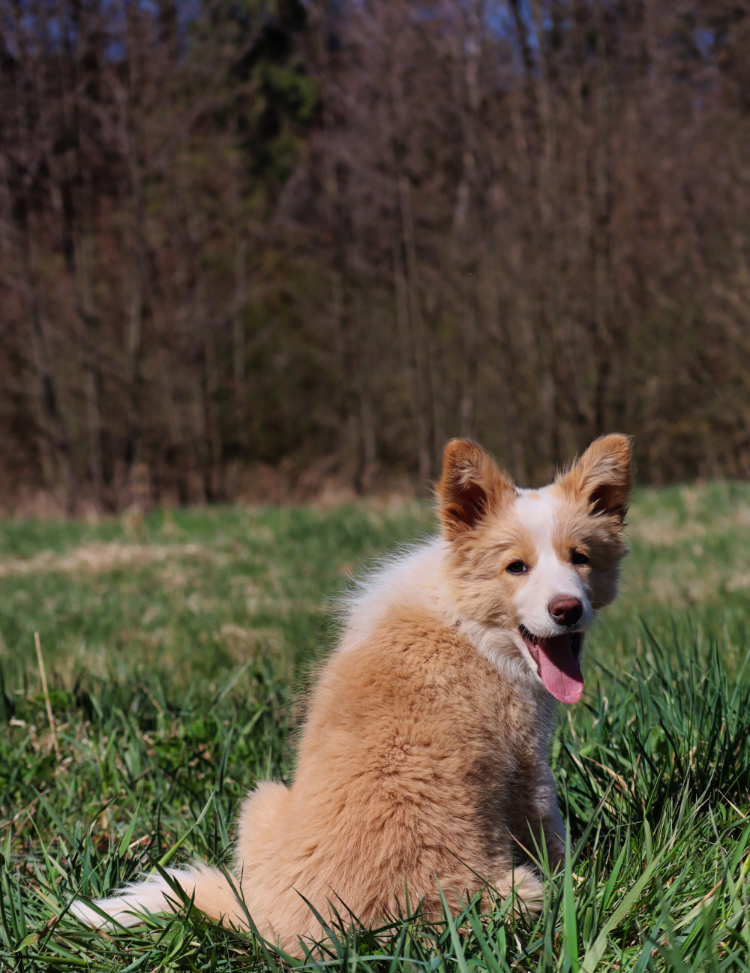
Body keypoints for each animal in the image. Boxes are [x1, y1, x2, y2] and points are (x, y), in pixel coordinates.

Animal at [72, 436, 636, 952]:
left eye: (580, 559)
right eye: (516, 567)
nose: (567, 609)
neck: (465, 619)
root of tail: (265, 921)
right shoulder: (528, 766)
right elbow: (554, 837)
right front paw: (585, 884)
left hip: (261, 800)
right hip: (511, 890)